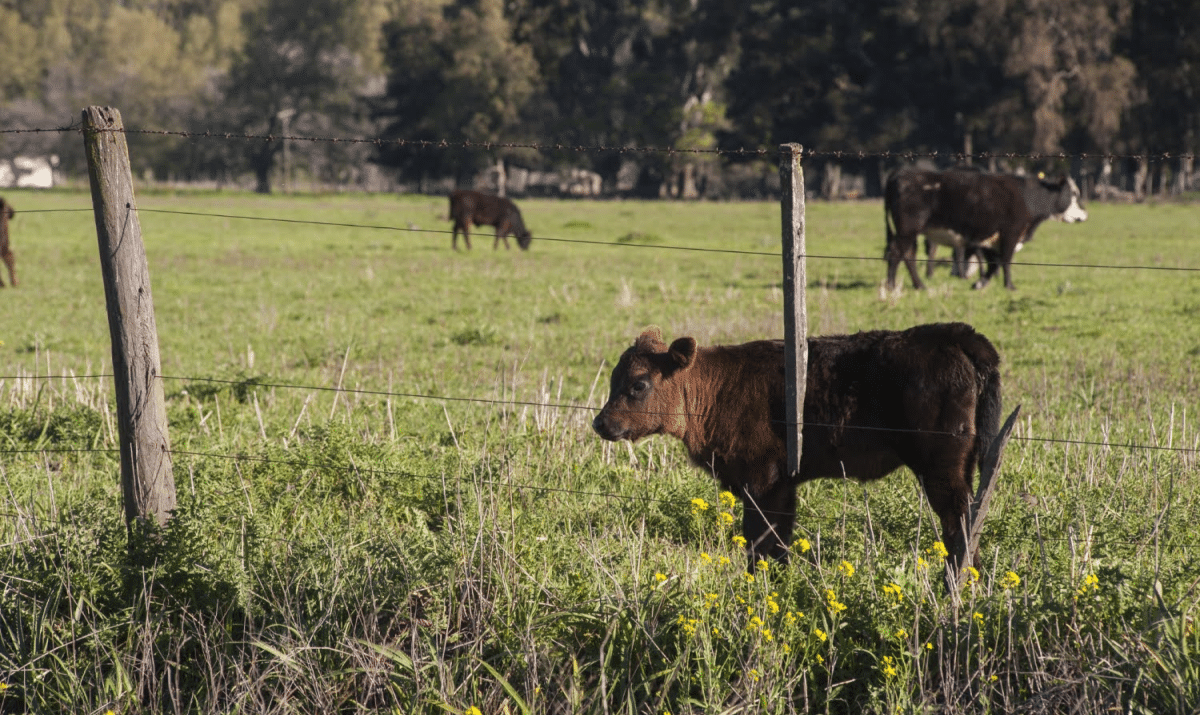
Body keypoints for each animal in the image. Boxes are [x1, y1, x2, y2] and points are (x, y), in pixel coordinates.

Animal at [592, 322, 1002, 574]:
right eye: (613, 379)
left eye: (639, 384)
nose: (600, 423)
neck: (717, 388)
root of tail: (952, 334)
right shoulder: (782, 486)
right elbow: (779, 542)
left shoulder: (761, 483)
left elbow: (760, 540)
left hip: (943, 471)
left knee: (959, 522)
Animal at [884, 168, 1087, 290]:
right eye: (1074, 194)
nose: (1084, 215)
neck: (1028, 197)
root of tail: (900, 174)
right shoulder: (1010, 233)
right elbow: (1005, 260)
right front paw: (1009, 286)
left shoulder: (991, 239)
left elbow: (994, 263)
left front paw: (980, 283)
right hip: (907, 231)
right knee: (896, 254)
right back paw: (891, 286)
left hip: (910, 233)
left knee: (908, 255)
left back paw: (919, 285)